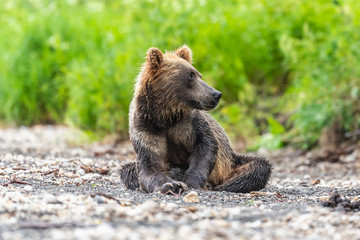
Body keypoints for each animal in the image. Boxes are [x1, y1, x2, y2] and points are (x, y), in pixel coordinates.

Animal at [119, 46, 272, 194]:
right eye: (190, 75)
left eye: (199, 74)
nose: (216, 94)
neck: (165, 116)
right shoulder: (146, 127)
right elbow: (150, 165)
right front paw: (170, 184)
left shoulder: (190, 124)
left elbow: (206, 146)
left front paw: (190, 182)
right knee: (127, 170)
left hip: (231, 162)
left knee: (258, 166)